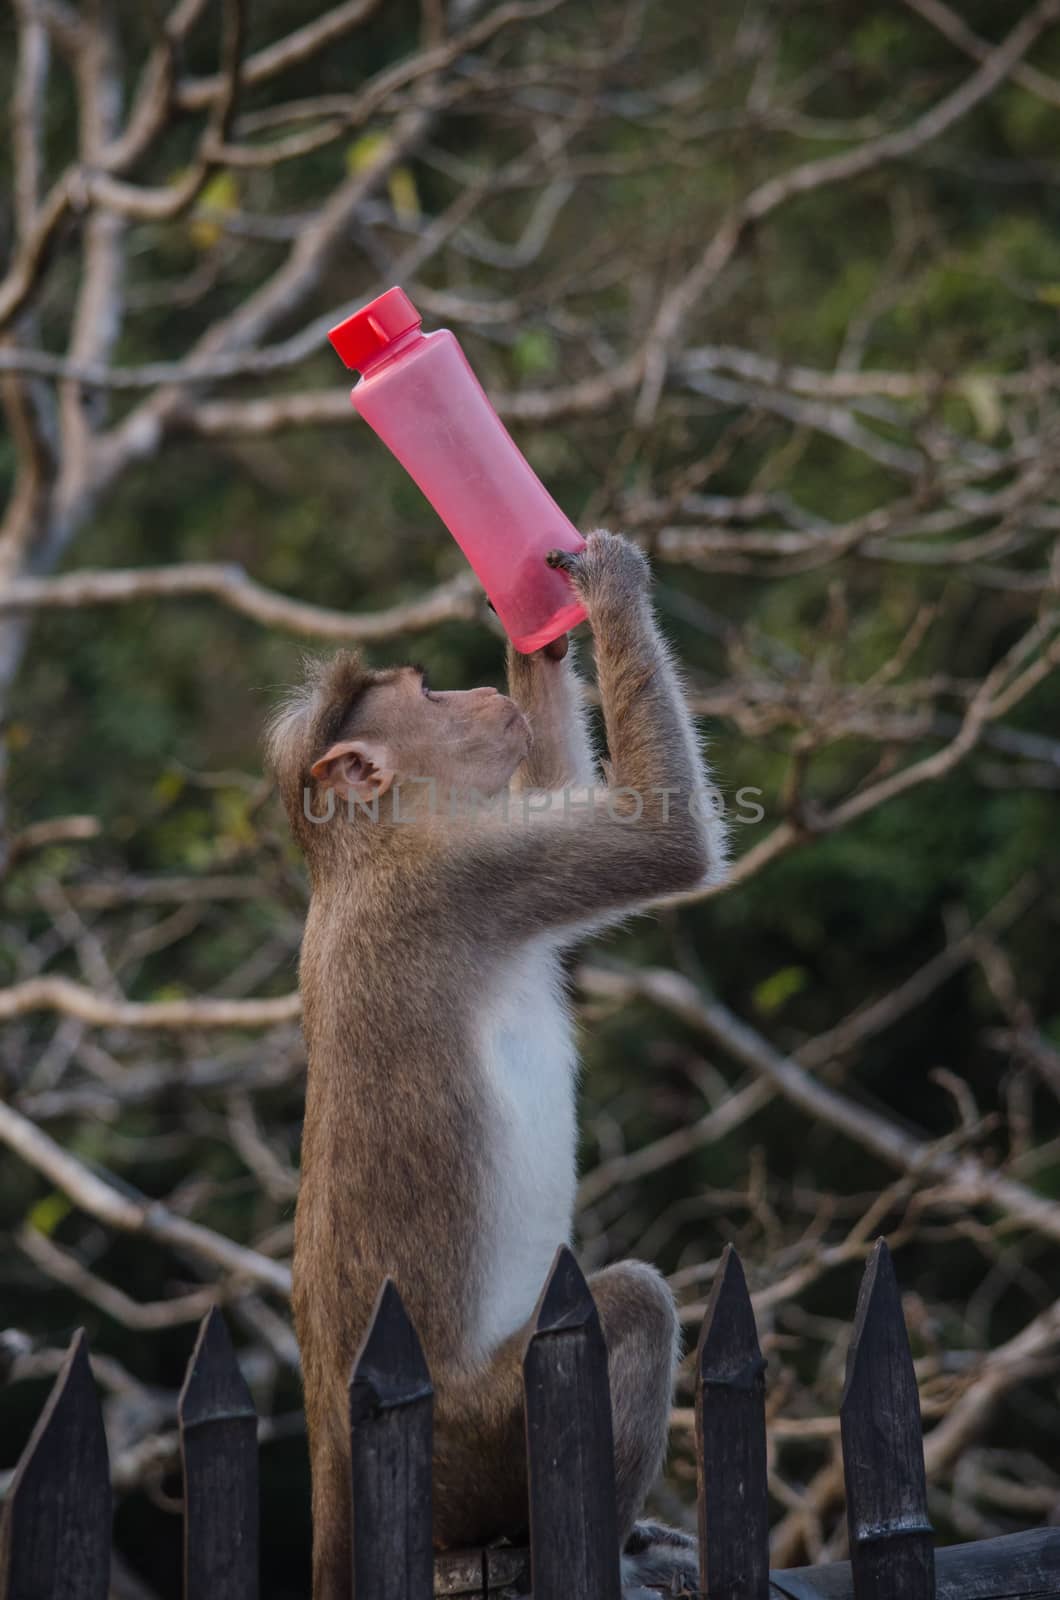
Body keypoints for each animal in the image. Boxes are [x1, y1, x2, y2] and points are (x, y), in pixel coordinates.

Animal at [267, 531, 730, 1593]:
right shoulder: (468, 877)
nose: (479, 689)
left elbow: (551, 774)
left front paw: (541, 626)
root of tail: (332, 1470)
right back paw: (591, 1547)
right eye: (430, 696)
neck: (366, 849)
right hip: (471, 1441)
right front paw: (609, 588)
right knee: (632, 1306)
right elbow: (660, 837)